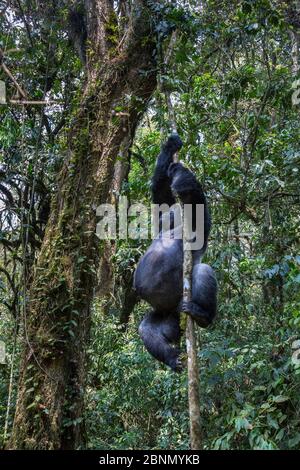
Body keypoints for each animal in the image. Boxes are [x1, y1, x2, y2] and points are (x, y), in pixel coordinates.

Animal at [134, 134, 218, 372]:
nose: (172, 214)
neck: (174, 228)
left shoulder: (198, 226)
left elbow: (196, 202)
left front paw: (182, 173)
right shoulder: (161, 219)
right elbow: (160, 195)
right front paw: (170, 146)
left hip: (180, 302)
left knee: (203, 270)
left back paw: (203, 316)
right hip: (168, 315)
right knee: (148, 329)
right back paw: (172, 358)